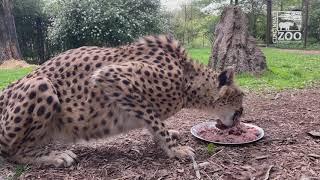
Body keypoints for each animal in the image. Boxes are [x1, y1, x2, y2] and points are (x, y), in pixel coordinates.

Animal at [0, 35, 242, 167]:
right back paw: (55, 156)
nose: (239, 121)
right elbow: (155, 120)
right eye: (240, 103)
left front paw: (168, 139)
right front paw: (175, 150)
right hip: (41, 84)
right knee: (12, 152)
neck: (187, 79)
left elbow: (153, 122)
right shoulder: (111, 77)